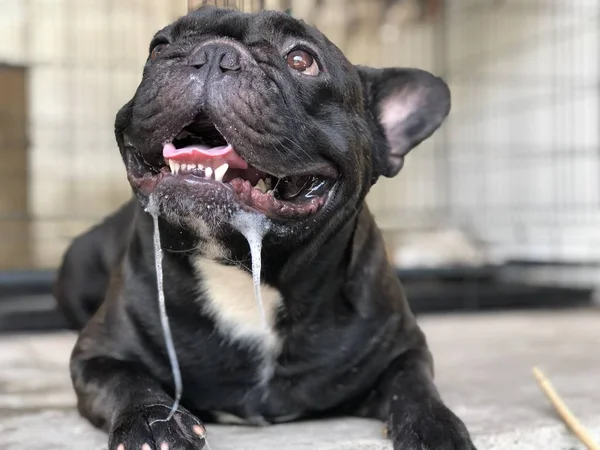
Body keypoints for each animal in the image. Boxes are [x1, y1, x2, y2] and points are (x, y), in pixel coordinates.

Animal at [57, 4, 478, 450]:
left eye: (301, 60)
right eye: (158, 47)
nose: (214, 53)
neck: (243, 275)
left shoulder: (404, 349)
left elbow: (414, 386)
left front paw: (436, 427)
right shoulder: (98, 354)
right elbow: (127, 380)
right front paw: (153, 423)